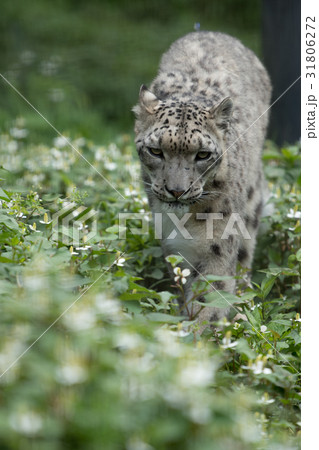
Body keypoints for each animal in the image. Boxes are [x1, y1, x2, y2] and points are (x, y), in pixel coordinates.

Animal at [132, 32, 272, 326]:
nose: (176, 191)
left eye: (203, 154)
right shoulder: (174, 248)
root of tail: (213, 32)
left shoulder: (216, 247)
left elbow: (211, 299)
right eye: (155, 151)